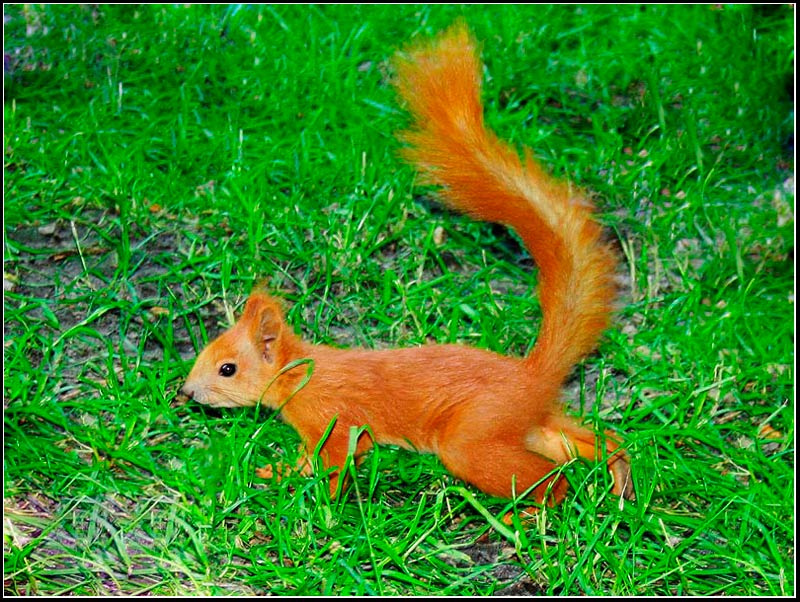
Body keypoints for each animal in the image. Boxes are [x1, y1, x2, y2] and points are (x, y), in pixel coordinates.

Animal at [181, 23, 633, 505]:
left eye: (228, 368)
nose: (187, 391)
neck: (302, 372)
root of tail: (532, 376)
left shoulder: (333, 417)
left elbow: (335, 460)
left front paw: (305, 489)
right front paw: (279, 473)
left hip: (475, 432)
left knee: (549, 475)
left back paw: (531, 510)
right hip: (528, 424)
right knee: (586, 441)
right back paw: (620, 472)